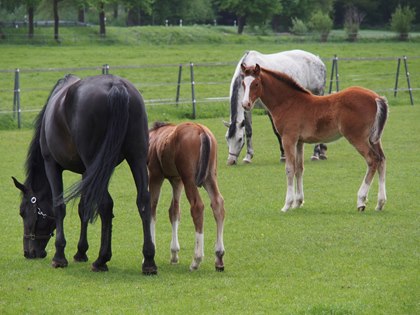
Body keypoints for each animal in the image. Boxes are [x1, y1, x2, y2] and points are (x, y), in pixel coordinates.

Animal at [13, 73, 158, 274]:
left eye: (23, 212)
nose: (29, 252)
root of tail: (116, 85)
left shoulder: (52, 164)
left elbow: (59, 206)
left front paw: (60, 256)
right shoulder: (87, 172)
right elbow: (83, 207)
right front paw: (81, 252)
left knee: (106, 204)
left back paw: (101, 260)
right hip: (136, 157)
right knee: (143, 200)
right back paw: (149, 261)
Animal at [148, 121, 226, 272]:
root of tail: (201, 130)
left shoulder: (155, 176)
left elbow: (152, 209)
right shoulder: (176, 180)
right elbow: (174, 211)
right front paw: (174, 254)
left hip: (189, 178)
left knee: (197, 206)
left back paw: (196, 260)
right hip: (209, 176)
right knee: (217, 203)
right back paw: (219, 257)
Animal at [241, 63, 388, 212]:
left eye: (256, 84)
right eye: (243, 83)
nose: (245, 104)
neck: (288, 102)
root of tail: (376, 97)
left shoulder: (288, 139)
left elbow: (289, 169)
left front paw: (287, 205)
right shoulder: (299, 142)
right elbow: (299, 168)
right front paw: (298, 202)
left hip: (357, 137)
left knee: (372, 160)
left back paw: (361, 201)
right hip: (374, 138)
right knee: (381, 160)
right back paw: (380, 203)